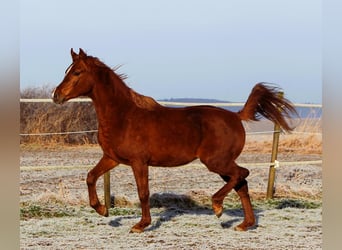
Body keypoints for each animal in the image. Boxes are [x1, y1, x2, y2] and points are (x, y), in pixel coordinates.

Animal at [52, 48, 296, 232]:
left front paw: (141, 225)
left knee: (242, 174)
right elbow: (90, 177)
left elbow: (143, 193)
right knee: (241, 183)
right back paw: (245, 224)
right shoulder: (112, 158)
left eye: (77, 72)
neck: (123, 116)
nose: (57, 96)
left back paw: (218, 207)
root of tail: (236, 116)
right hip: (220, 163)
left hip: (216, 161)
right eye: (68, 71)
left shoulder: (139, 162)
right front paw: (102, 210)